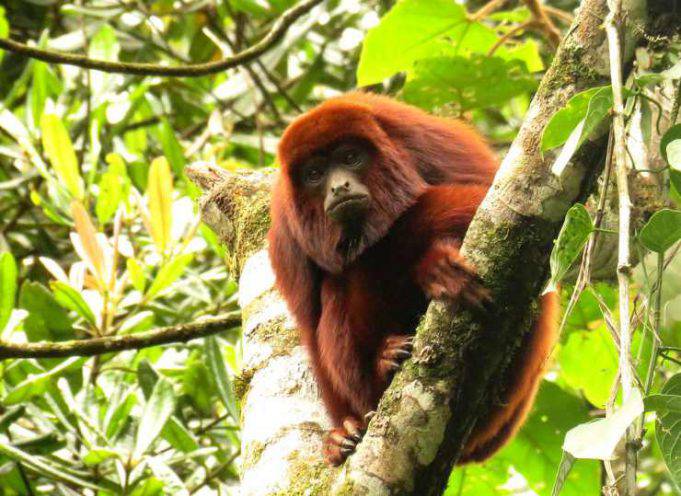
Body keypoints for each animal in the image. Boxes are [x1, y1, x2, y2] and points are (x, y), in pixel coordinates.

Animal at [267, 92, 559, 466]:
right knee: (338, 287)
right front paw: (341, 434)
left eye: (350, 157)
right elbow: (310, 325)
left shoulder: (421, 139)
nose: (339, 187)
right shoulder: (287, 236)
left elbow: (494, 205)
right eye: (314, 174)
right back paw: (381, 370)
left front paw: (437, 267)